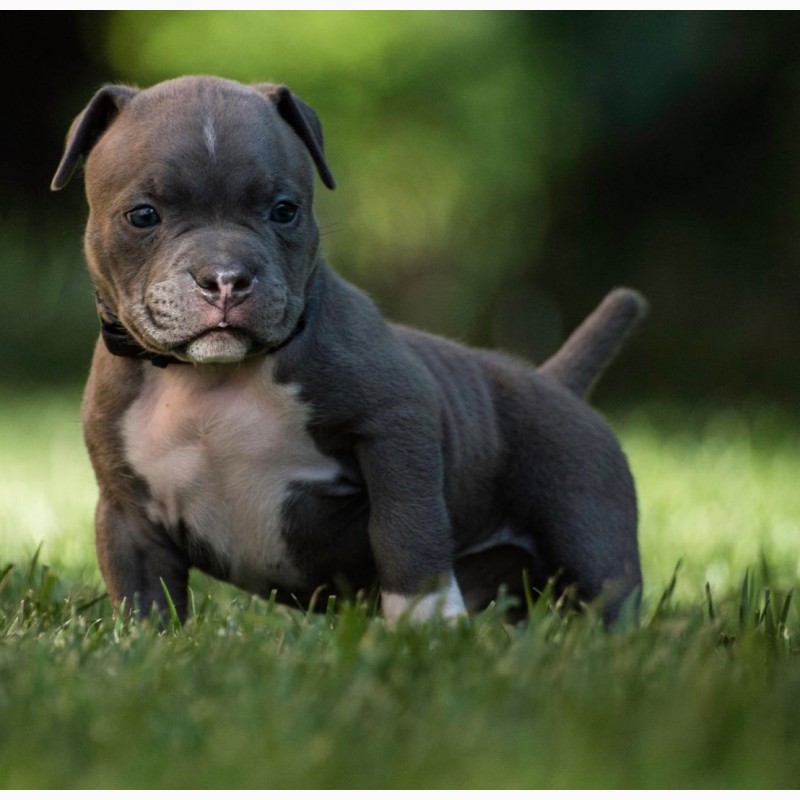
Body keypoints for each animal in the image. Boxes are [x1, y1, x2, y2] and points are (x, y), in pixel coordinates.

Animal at [51, 76, 644, 624]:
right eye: (143, 215)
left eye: (284, 211)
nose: (224, 278)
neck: (212, 379)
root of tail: (556, 381)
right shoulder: (127, 513)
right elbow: (145, 597)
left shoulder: (397, 426)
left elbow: (405, 529)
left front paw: (424, 624)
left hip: (588, 530)